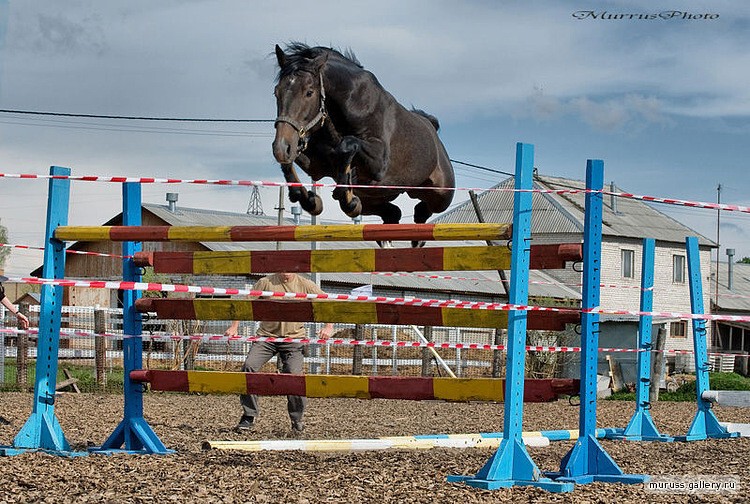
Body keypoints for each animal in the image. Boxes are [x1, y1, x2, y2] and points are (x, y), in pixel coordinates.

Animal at [274, 42, 456, 241]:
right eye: (276, 92)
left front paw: (348, 198)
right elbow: (292, 161)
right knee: (393, 213)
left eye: (309, 93)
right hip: (376, 198)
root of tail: (431, 126)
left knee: (427, 208)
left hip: (442, 192)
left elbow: (347, 145)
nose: (281, 148)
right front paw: (310, 200)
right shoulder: (316, 166)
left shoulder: (379, 164)